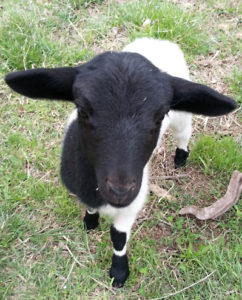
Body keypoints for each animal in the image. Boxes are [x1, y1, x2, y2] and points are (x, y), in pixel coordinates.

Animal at [4, 38, 237, 288]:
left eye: (160, 115)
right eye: (82, 110)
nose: (120, 190)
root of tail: (158, 40)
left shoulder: (133, 203)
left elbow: (118, 236)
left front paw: (119, 272)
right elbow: (90, 209)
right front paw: (90, 221)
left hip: (182, 117)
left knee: (184, 134)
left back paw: (181, 157)